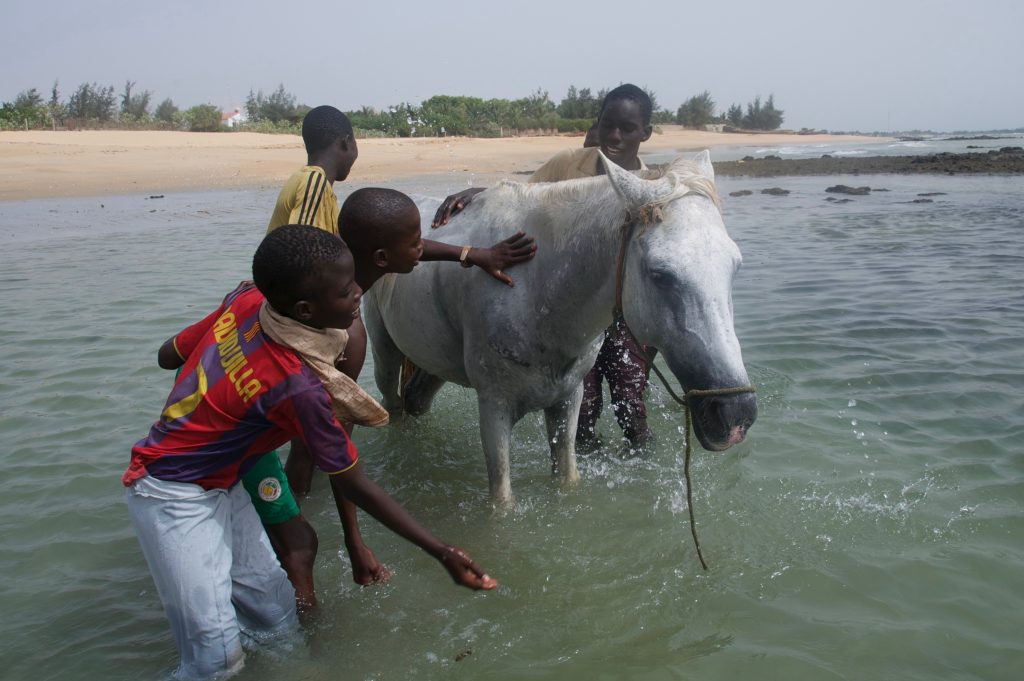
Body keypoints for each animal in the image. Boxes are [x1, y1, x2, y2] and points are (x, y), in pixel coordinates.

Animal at [364, 155, 757, 503]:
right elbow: (501, 503)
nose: (736, 414)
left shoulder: (568, 399)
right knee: (393, 404)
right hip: (384, 351)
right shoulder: (494, 407)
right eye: (660, 274)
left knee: (416, 399)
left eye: (736, 266)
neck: (536, 288)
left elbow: (567, 481)